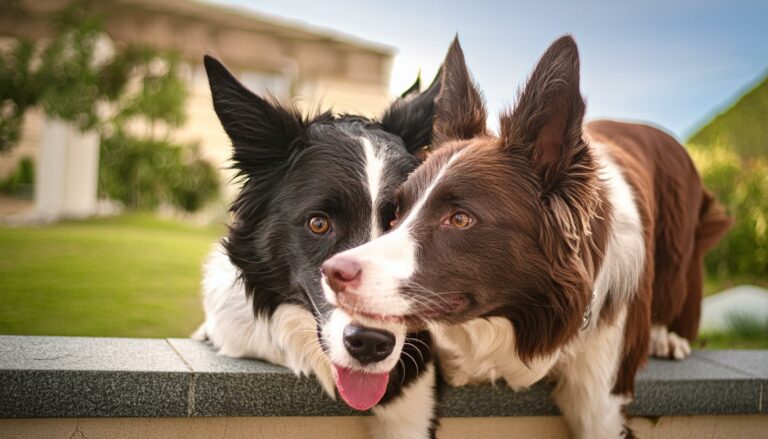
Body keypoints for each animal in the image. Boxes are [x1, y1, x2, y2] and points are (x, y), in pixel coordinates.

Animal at [318, 36, 732, 438]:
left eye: (461, 219)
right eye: (396, 213)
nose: (332, 272)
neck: (526, 319)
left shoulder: (603, 394)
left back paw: (668, 337)